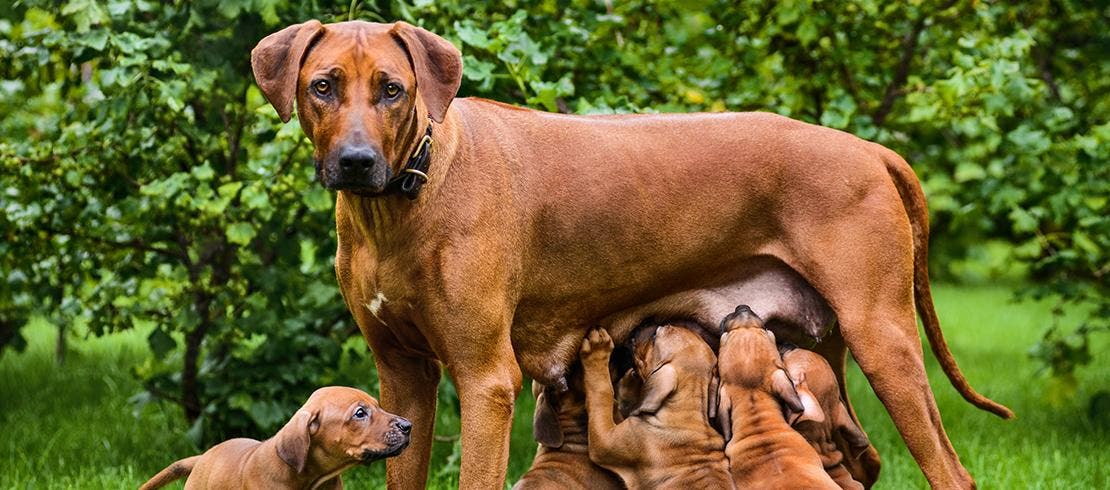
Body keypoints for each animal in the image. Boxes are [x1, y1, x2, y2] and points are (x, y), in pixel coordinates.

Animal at [577, 324, 732, 488]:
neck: (687, 412)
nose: (639, 328)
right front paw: (629, 385)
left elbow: (602, 392)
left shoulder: (603, 440)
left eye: (655, 335)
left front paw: (597, 352)